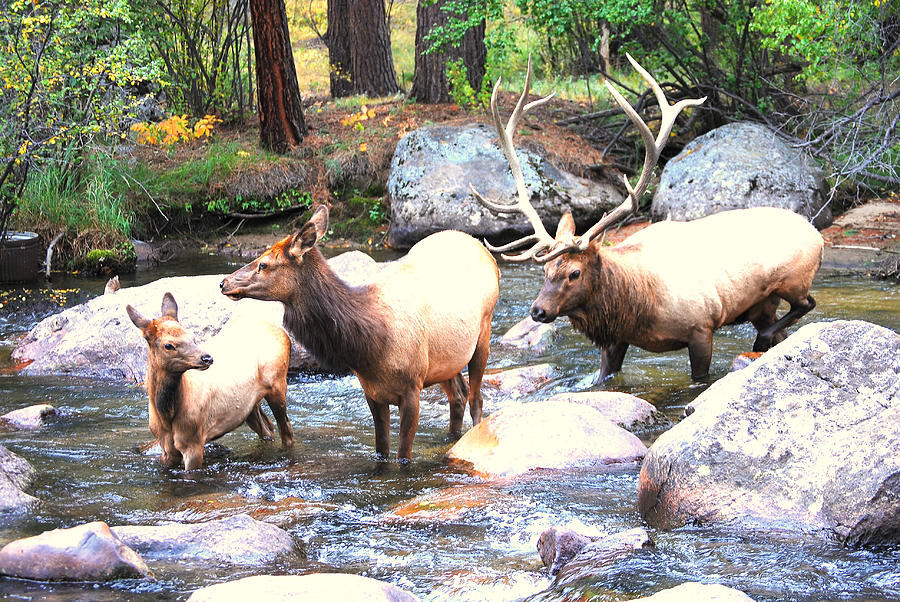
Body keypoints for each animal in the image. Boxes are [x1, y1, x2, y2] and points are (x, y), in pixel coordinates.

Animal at [126, 290, 292, 468]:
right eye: (168, 345)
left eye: (192, 336)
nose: (207, 358)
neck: (166, 414)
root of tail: (281, 330)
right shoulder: (166, 446)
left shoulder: (193, 440)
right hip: (249, 405)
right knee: (267, 427)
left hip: (278, 384)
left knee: (286, 430)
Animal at [219, 204, 500, 462]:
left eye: (264, 264)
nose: (223, 282)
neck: (369, 346)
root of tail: (485, 251)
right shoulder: (372, 391)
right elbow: (382, 450)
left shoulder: (412, 386)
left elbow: (403, 455)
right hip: (444, 360)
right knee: (458, 395)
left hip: (483, 333)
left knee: (476, 398)